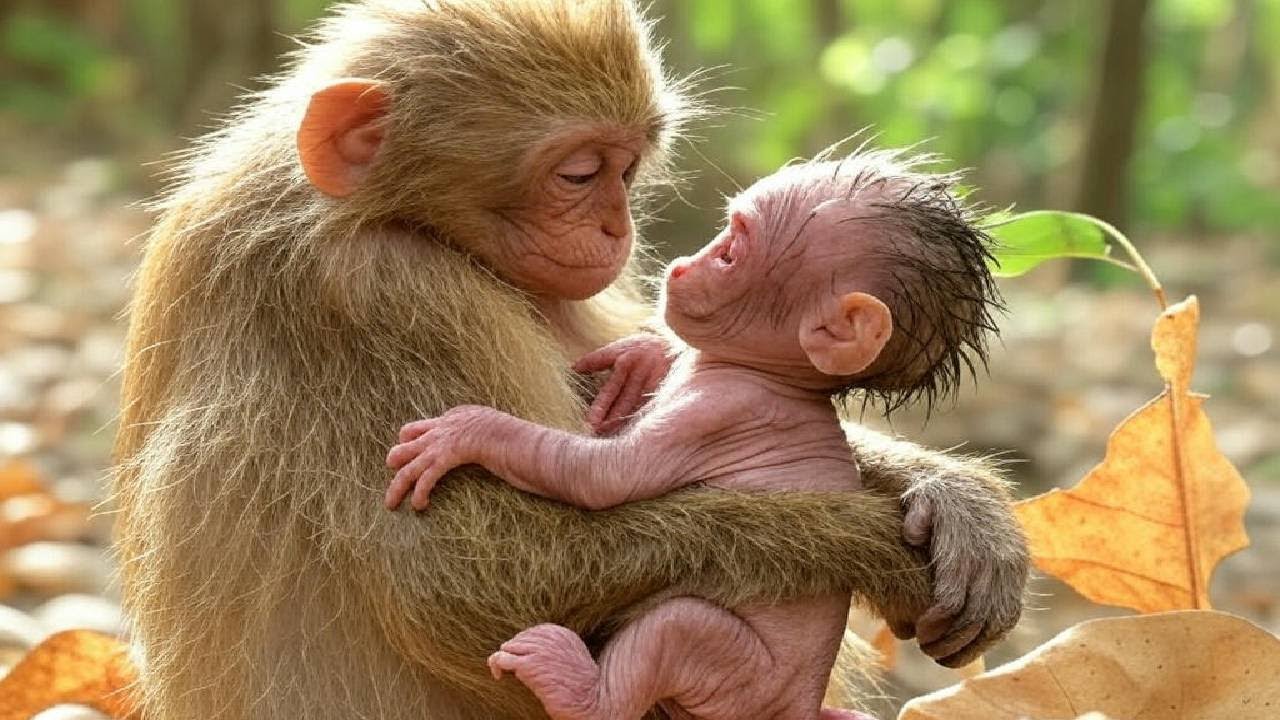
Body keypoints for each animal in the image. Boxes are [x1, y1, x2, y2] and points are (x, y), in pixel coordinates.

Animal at [384, 148, 1002, 720]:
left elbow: (599, 478)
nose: (684, 266)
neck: (776, 376)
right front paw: (641, 358)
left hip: (742, 676)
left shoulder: (714, 408)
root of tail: (797, 706)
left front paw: (466, 431)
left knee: (676, 628)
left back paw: (575, 687)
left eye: (729, 254)